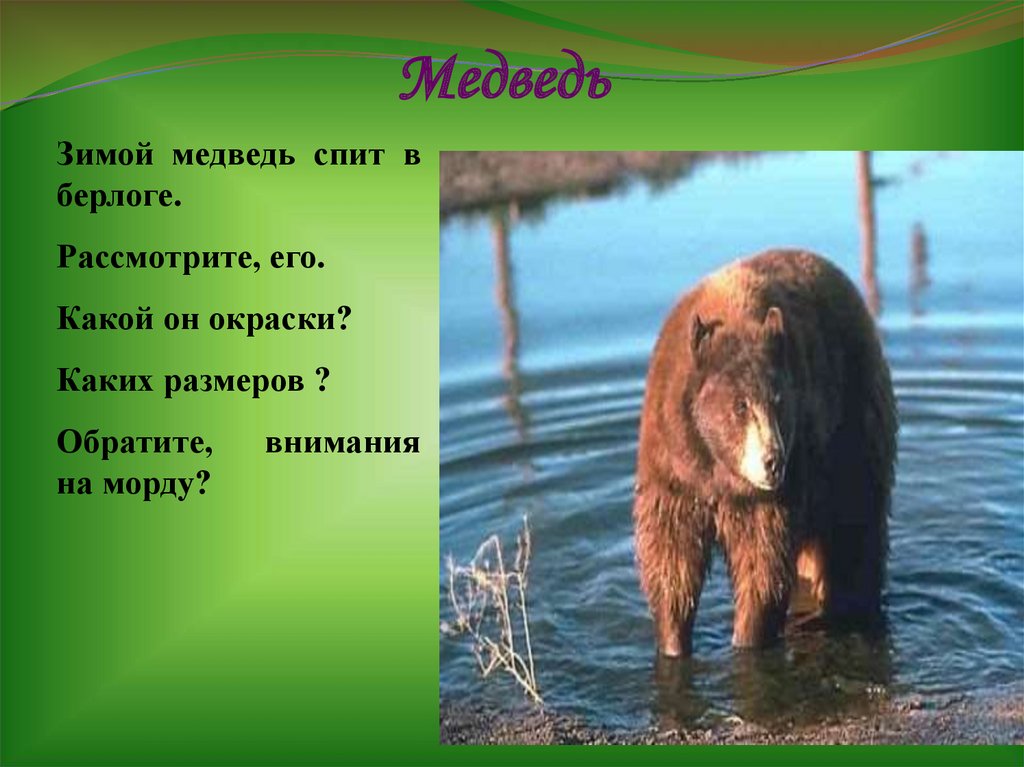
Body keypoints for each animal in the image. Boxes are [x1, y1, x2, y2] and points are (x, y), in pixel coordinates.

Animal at [633, 249, 897, 656]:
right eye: (740, 406)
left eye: (778, 400)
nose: (773, 462)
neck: (715, 468)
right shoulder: (673, 471)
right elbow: (670, 557)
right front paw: (673, 639)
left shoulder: (774, 492)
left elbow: (762, 563)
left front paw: (747, 638)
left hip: (851, 428)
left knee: (855, 528)